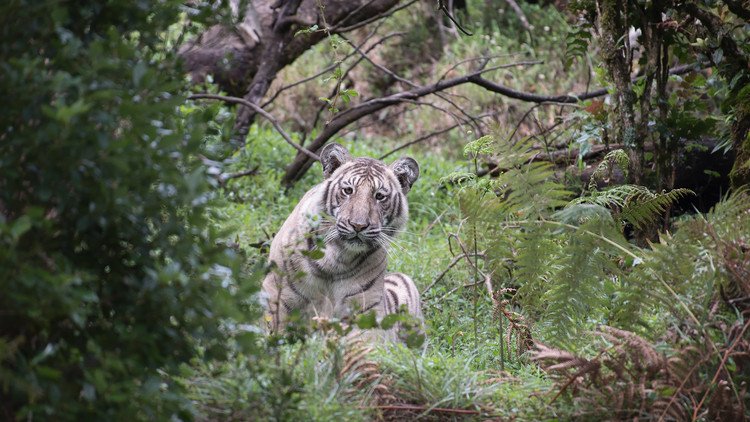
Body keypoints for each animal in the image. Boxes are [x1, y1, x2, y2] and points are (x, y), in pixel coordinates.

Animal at [261, 143, 423, 338]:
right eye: (348, 190)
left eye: (379, 196)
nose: (358, 225)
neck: (336, 257)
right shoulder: (278, 291)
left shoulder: (365, 310)